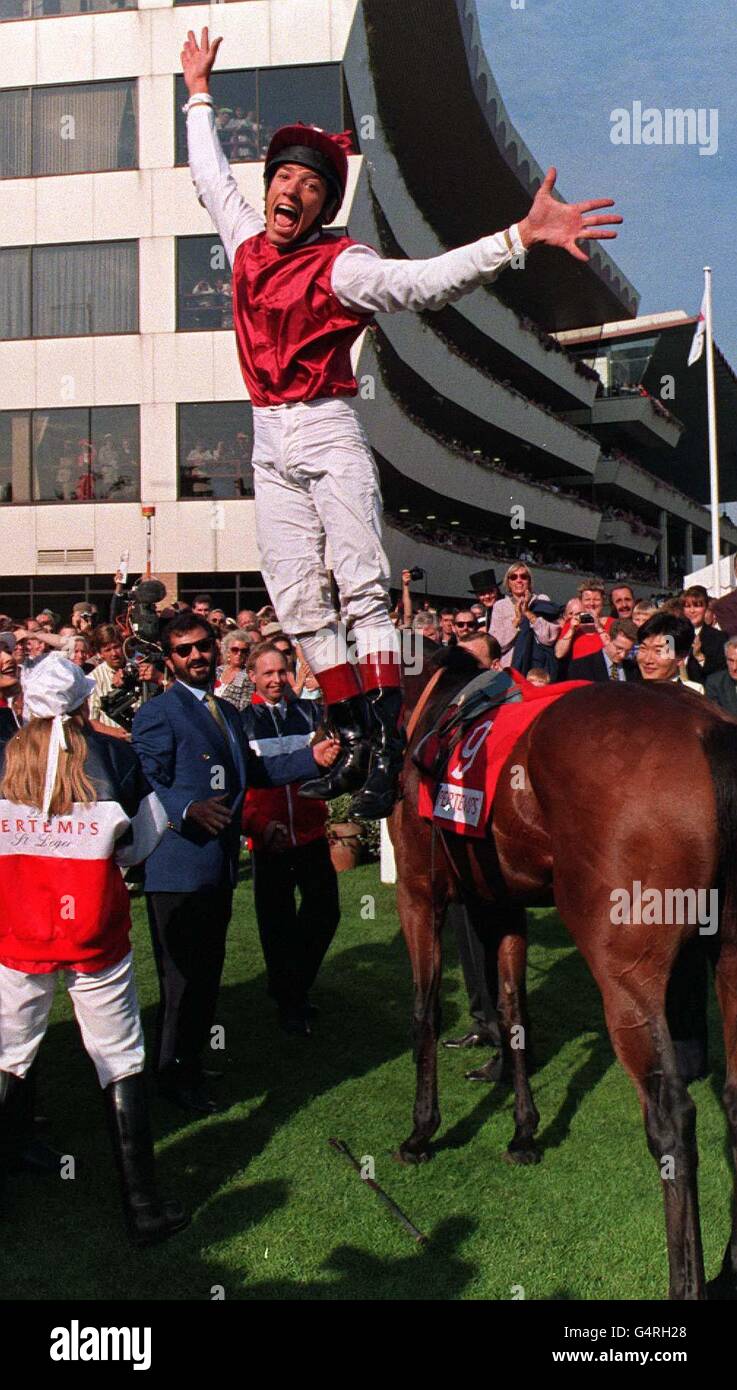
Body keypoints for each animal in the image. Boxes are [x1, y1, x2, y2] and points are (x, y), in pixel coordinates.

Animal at [389, 644, 737, 1295]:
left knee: (672, 1117)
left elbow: (423, 1010)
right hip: (729, 953)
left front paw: (422, 1131)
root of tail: (710, 731)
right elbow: (514, 1010)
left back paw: (688, 1281)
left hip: (626, 973)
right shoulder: (501, 902)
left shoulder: (419, 891)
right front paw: (524, 1131)